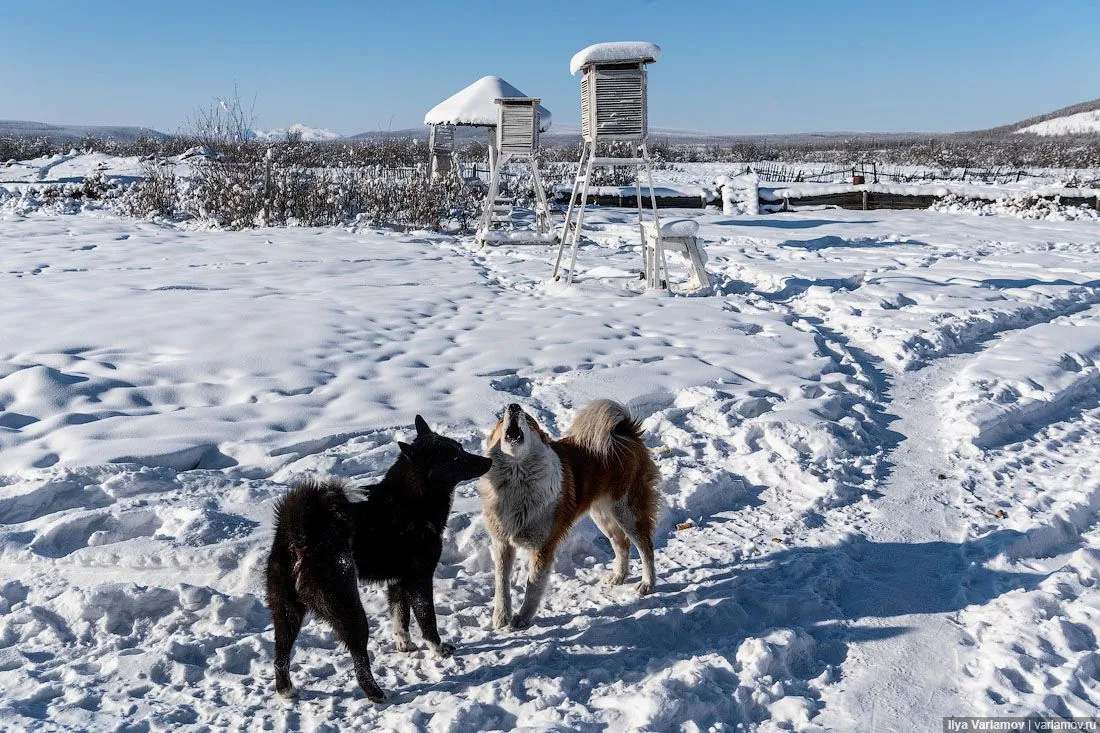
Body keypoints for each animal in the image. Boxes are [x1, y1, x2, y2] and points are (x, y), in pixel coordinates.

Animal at [264, 413, 492, 699]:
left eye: (460, 448)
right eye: (454, 456)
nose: (489, 460)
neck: (412, 499)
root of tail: (299, 534)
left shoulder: (398, 582)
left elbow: (400, 617)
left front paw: (405, 645)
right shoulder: (419, 579)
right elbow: (427, 620)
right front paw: (438, 649)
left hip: (286, 611)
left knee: (280, 655)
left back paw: (286, 690)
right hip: (348, 607)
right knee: (358, 655)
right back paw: (375, 692)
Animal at [479, 400, 651, 629]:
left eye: (529, 420)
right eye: (500, 420)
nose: (514, 406)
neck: (517, 478)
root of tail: (626, 432)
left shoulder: (543, 546)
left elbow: (533, 586)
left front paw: (522, 618)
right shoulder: (502, 543)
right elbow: (501, 582)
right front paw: (501, 616)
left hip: (628, 511)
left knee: (645, 547)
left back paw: (647, 584)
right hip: (603, 514)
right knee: (622, 544)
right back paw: (618, 577)